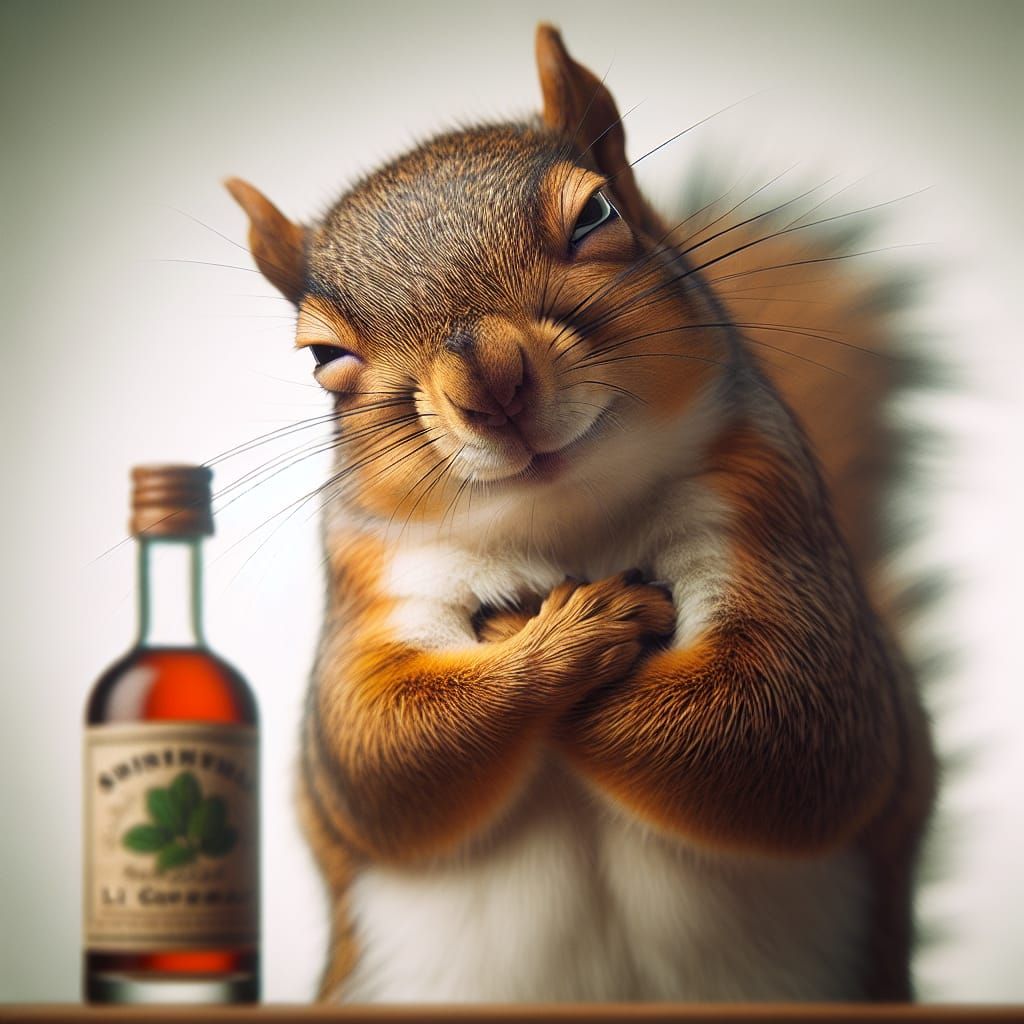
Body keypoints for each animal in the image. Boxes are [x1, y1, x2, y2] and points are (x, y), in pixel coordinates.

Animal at [226, 23, 936, 1003]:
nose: (491, 383)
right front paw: (555, 638)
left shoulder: (766, 511)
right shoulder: (369, 592)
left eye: (598, 214)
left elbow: (777, 717)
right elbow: (377, 751)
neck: (562, 527)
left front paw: (568, 630)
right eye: (323, 357)